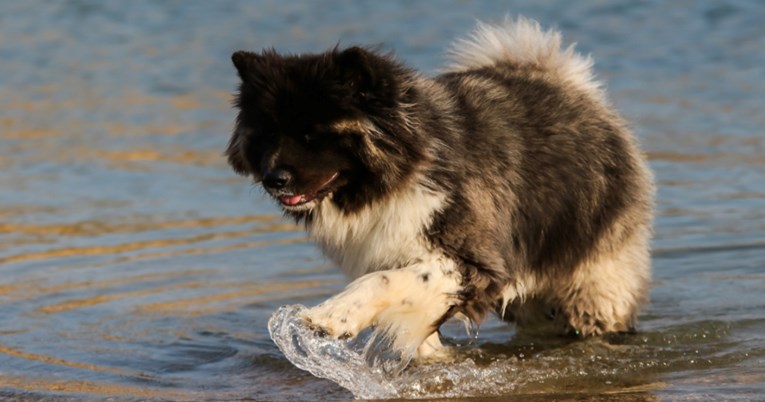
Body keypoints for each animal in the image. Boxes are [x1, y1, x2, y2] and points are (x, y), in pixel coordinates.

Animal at [225, 15, 652, 362]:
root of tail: (565, 84)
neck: (404, 169)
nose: (274, 178)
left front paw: (333, 315)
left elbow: (386, 281)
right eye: (267, 135)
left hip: (590, 283)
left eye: (312, 136)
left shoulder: (474, 262)